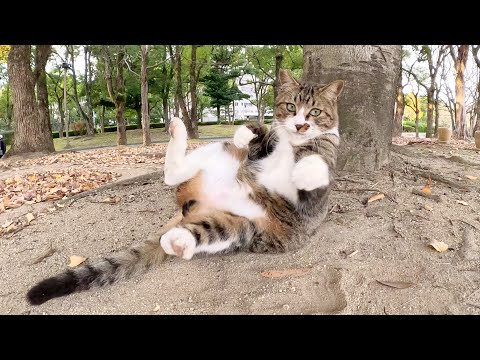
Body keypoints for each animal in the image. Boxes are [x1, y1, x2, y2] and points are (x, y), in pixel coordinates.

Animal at [26, 69, 344, 306]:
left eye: (315, 111)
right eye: (291, 107)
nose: (301, 125)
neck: (294, 144)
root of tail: (193, 208)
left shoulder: (312, 201)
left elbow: (317, 170)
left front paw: (307, 168)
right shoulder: (259, 153)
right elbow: (258, 138)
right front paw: (248, 132)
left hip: (245, 227)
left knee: (209, 233)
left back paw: (179, 242)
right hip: (220, 156)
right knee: (174, 177)